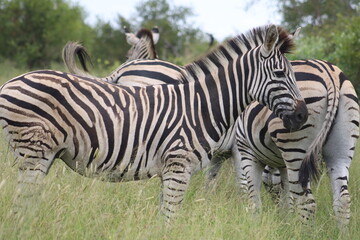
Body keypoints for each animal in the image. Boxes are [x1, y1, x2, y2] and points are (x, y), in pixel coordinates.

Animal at [0, 24, 310, 221]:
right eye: (280, 73)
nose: (303, 116)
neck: (201, 106)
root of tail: (10, 82)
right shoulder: (179, 166)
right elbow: (171, 219)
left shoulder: (174, 170)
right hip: (34, 153)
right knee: (20, 205)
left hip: (39, 156)